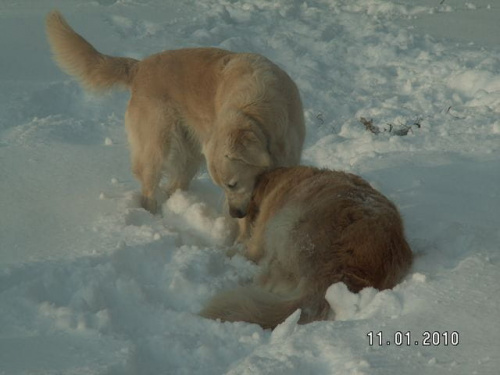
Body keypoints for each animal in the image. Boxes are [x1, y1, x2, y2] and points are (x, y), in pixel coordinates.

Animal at [46, 11, 304, 217]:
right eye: (224, 187)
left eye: (231, 184)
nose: (235, 214)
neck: (255, 108)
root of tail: (140, 67)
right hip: (157, 146)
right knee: (149, 187)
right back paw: (152, 215)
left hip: (191, 153)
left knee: (173, 186)